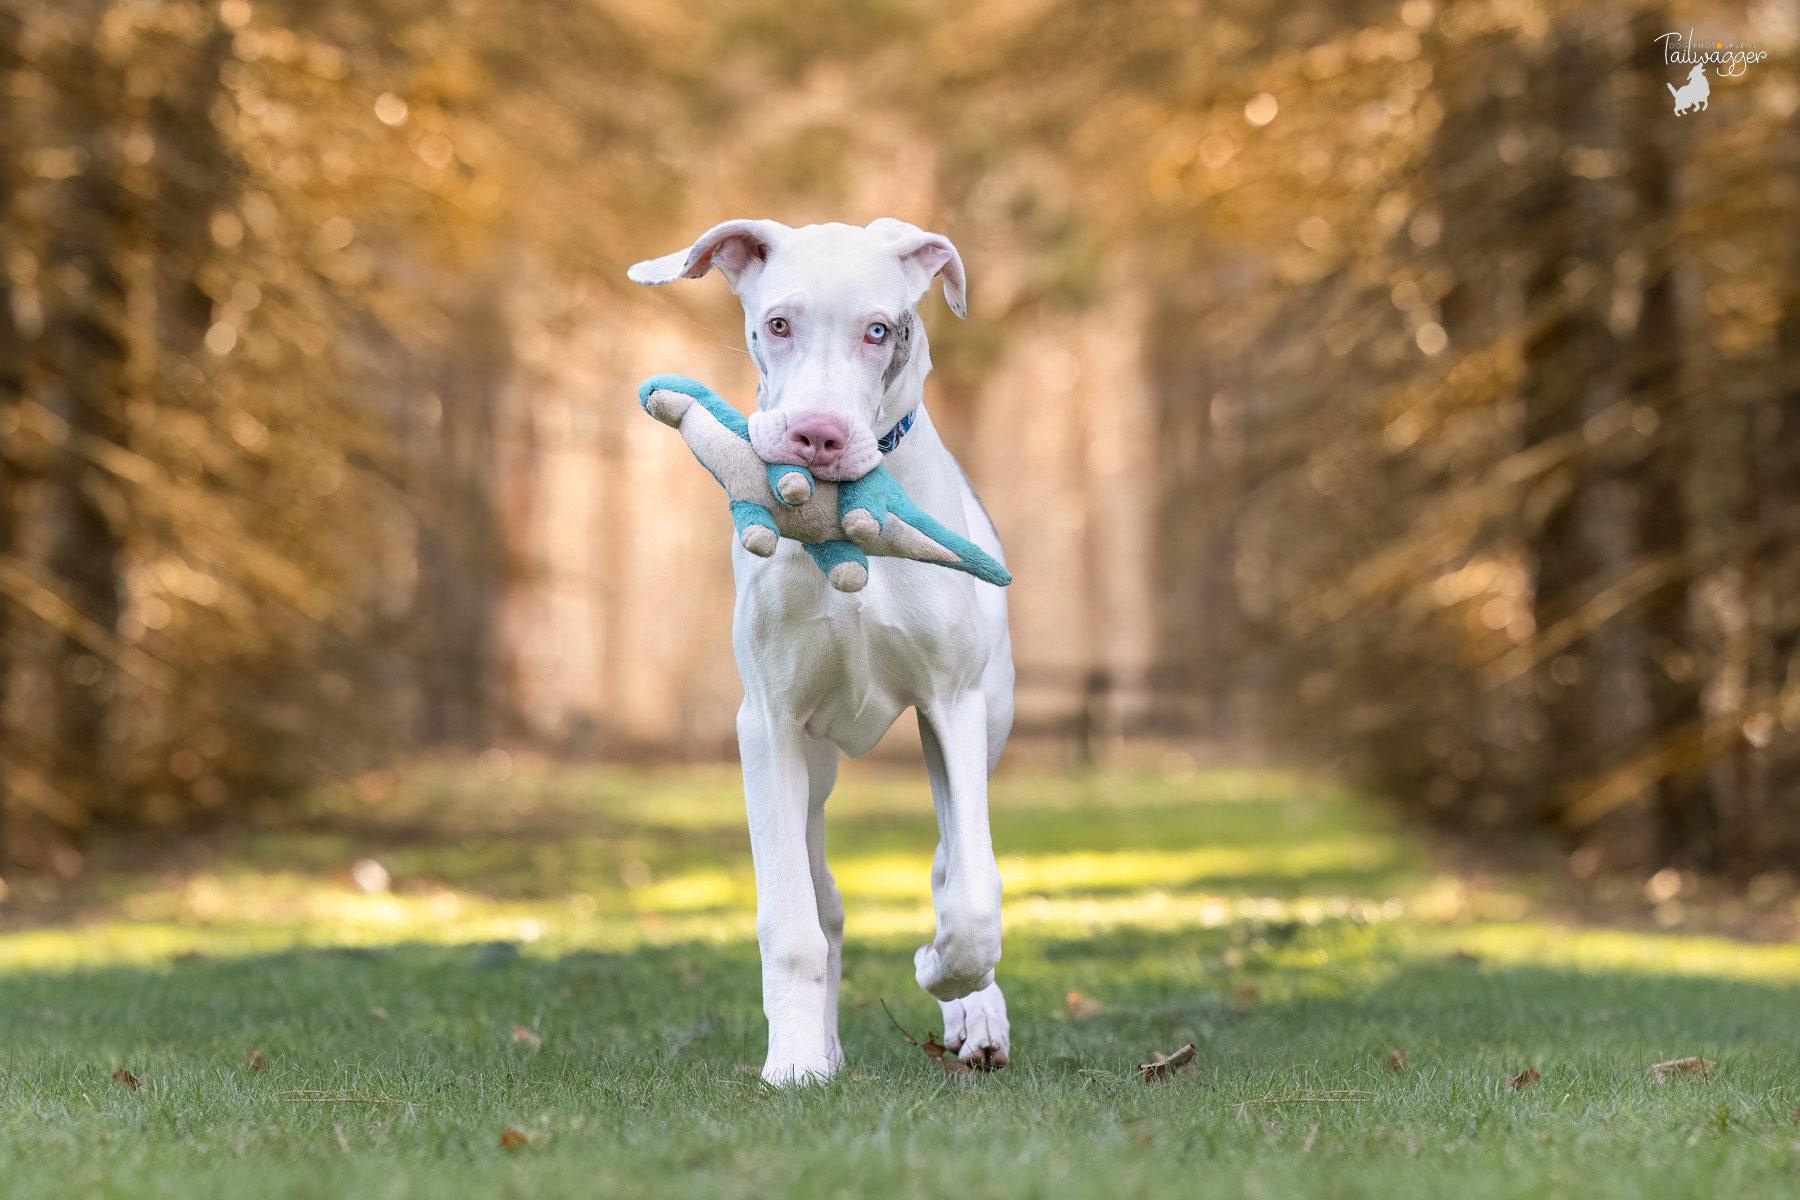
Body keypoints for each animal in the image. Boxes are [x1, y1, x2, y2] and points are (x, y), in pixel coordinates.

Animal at [626, 220, 1015, 1086]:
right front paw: (797, 1060)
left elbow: (973, 897)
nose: (818, 437)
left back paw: (974, 1013)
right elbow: (791, 921)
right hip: (810, 765)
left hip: (984, 723)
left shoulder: (954, 705)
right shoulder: (769, 725)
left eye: (878, 330)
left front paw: (944, 974)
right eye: (778, 324)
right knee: (824, 898)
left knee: (951, 860)